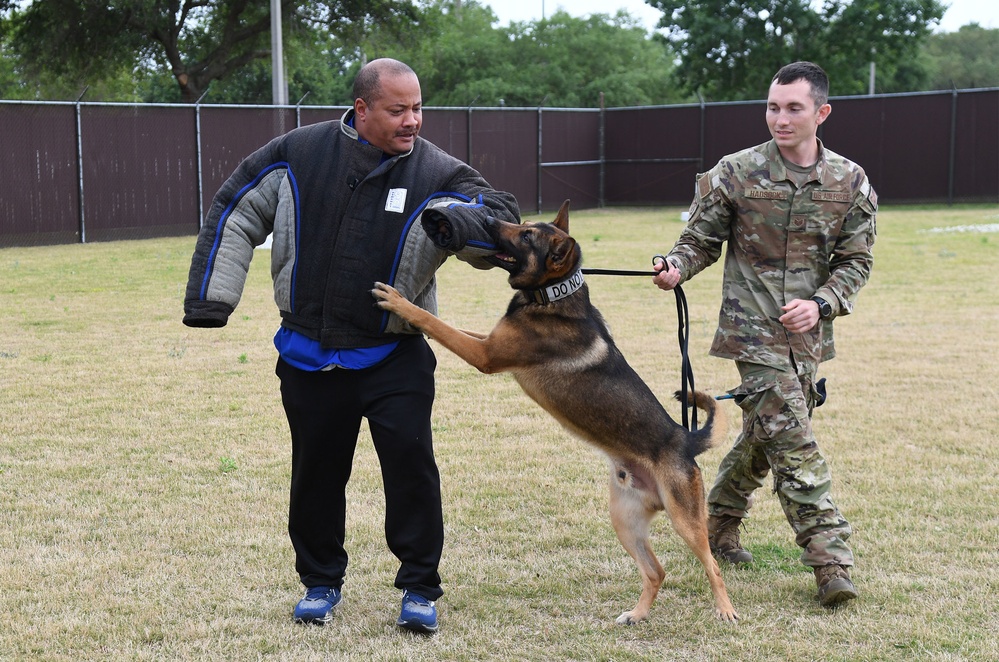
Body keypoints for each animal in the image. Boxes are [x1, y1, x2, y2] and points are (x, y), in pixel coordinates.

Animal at [372, 200, 740, 624]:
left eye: (527, 235)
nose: (489, 219)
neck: (549, 295)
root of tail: (685, 440)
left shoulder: (485, 355)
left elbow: (438, 323)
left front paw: (399, 302)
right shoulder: (489, 341)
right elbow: (451, 325)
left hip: (685, 520)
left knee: (712, 564)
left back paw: (725, 610)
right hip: (625, 521)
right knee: (656, 571)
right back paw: (637, 614)